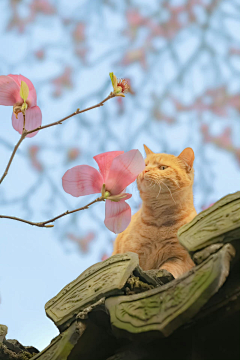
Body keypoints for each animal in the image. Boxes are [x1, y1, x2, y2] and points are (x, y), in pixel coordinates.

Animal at [112, 146, 197, 278]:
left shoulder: (180, 259)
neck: (159, 222)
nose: (145, 170)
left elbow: (169, 269)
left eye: (163, 168)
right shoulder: (133, 253)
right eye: (145, 165)